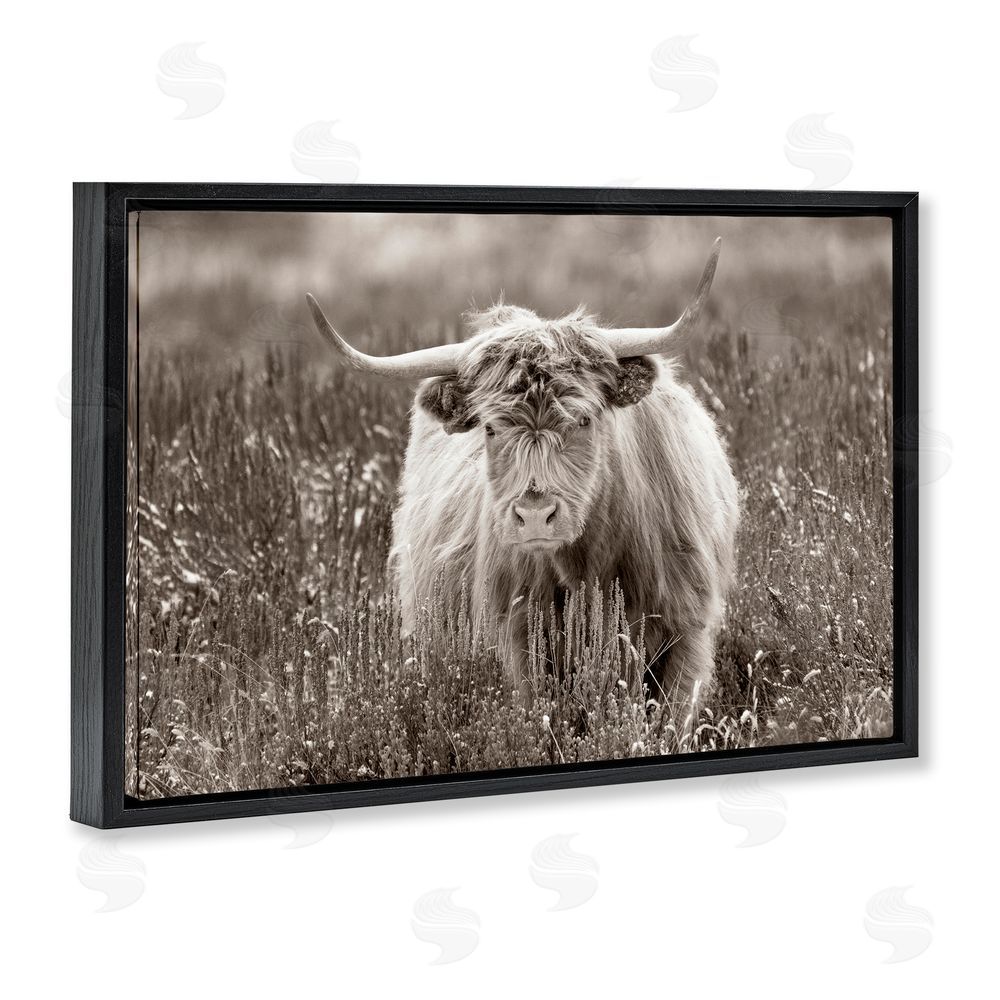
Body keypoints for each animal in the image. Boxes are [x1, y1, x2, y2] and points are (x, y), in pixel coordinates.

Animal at [305, 238, 739, 710]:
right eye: (491, 429)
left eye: (584, 419)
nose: (534, 516)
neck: (589, 568)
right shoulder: (517, 641)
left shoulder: (687, 633)